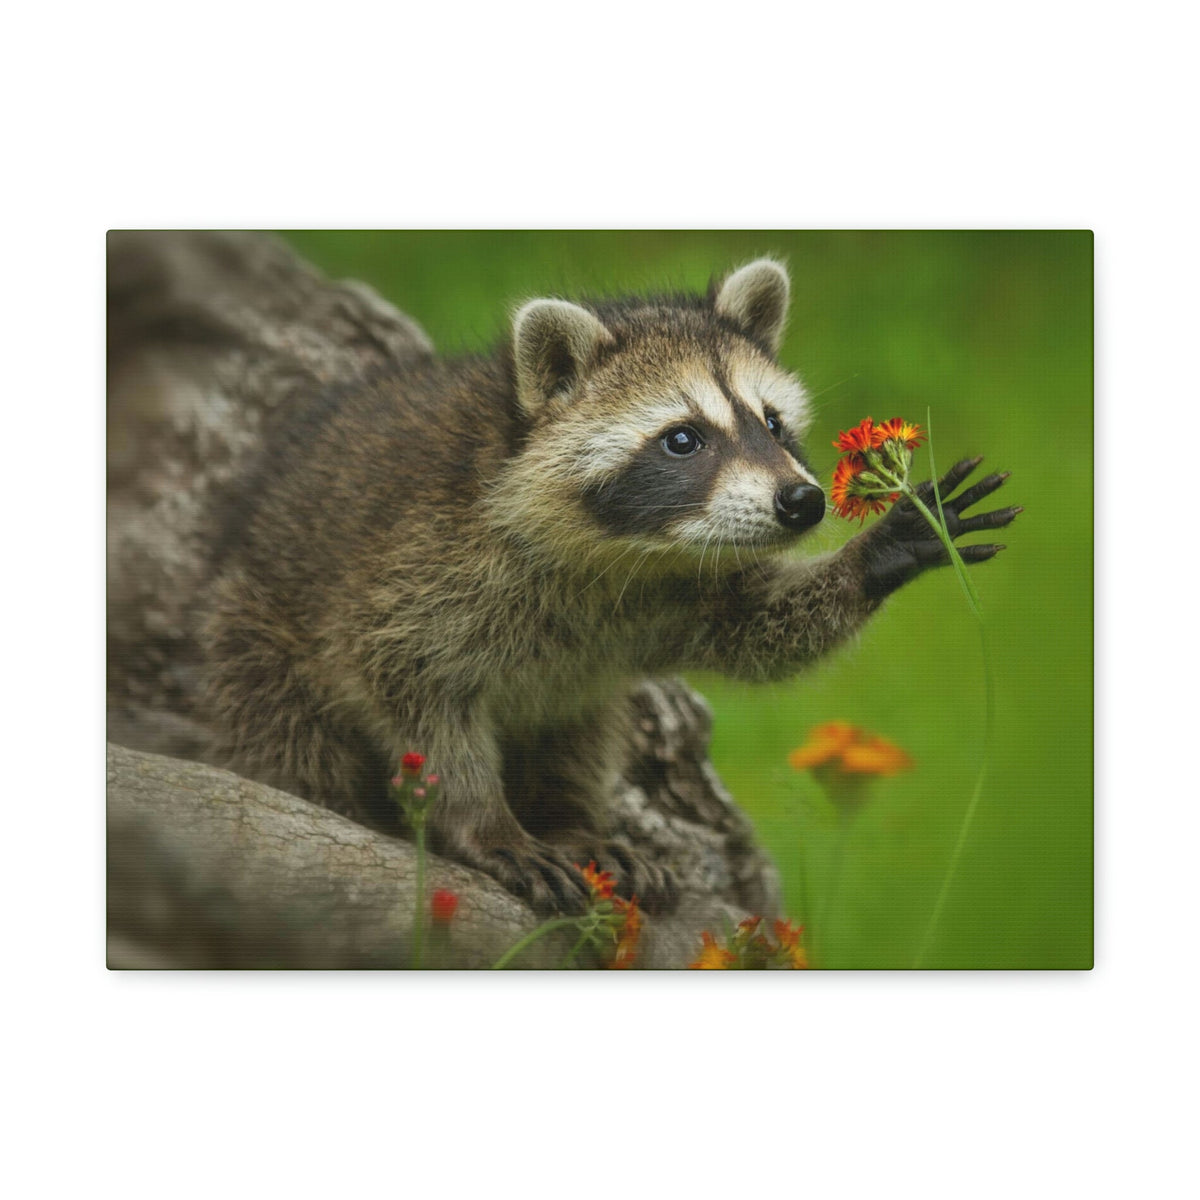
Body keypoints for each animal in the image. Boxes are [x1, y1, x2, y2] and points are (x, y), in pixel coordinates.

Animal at [203, 258, 1018, 914]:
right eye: (683, 439)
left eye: (773, 424)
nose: (803, 503)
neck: (624, 554)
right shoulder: (413, 575)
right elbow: (418, 702)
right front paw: (483, 821)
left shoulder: (675, 591)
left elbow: (758, 627)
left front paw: (878, 553)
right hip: (255, 644)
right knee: (294, 745)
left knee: (581, 728)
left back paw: (572, 820)